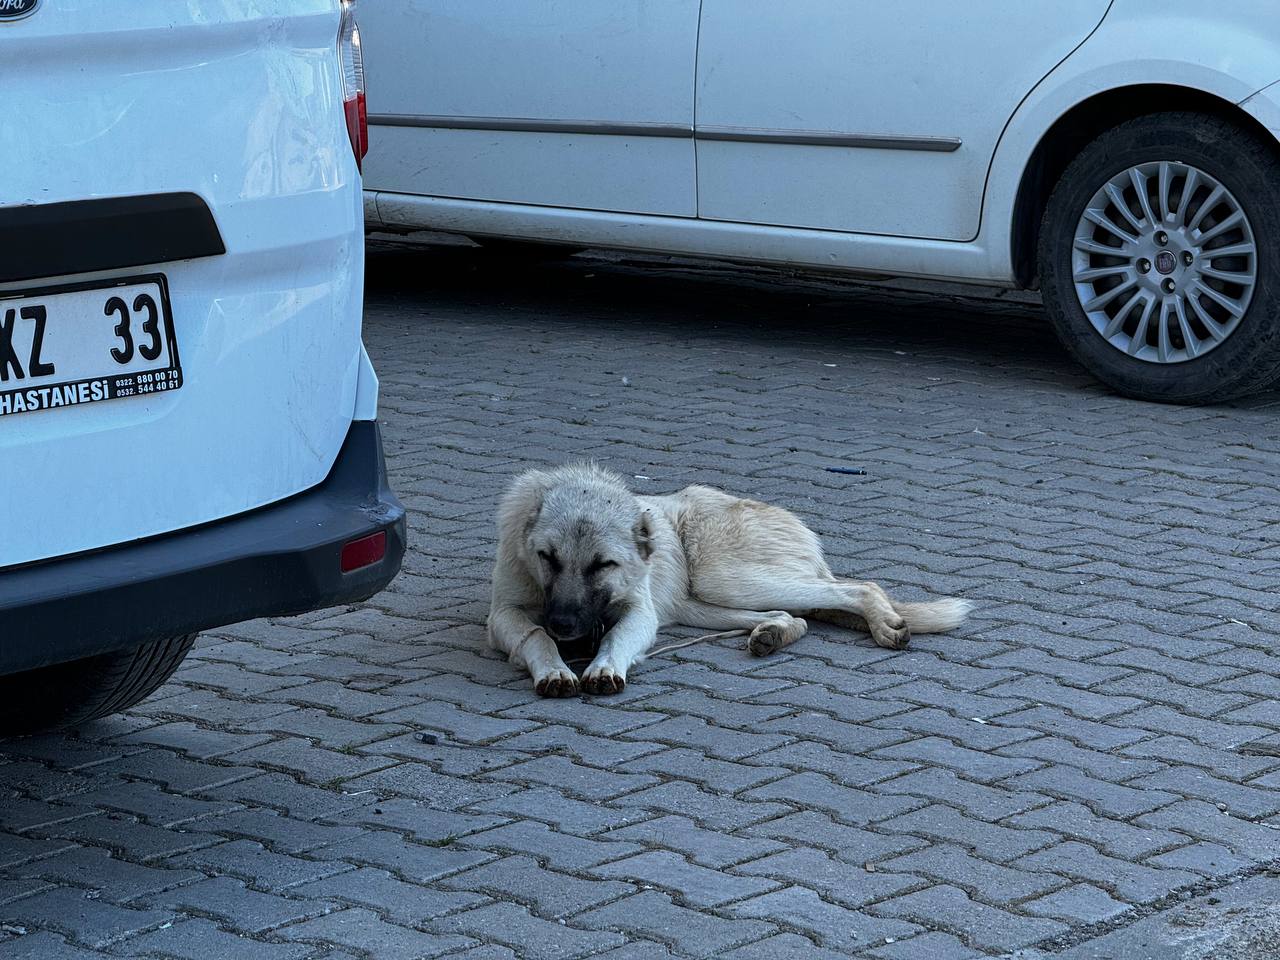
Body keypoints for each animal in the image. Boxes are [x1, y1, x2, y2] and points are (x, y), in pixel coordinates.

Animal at [486, 463, 967, 696]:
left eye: (602, 565)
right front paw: (554, 667)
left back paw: (883, 623)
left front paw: (603, 666)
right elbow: (534, 635)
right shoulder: (504, 615)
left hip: (725, 579)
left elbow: (615, 637)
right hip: (705, 604)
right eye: (548, 558)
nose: (565, 626)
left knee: (859, 587)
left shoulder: (639, 614)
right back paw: (774, 633)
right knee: (797, 615)